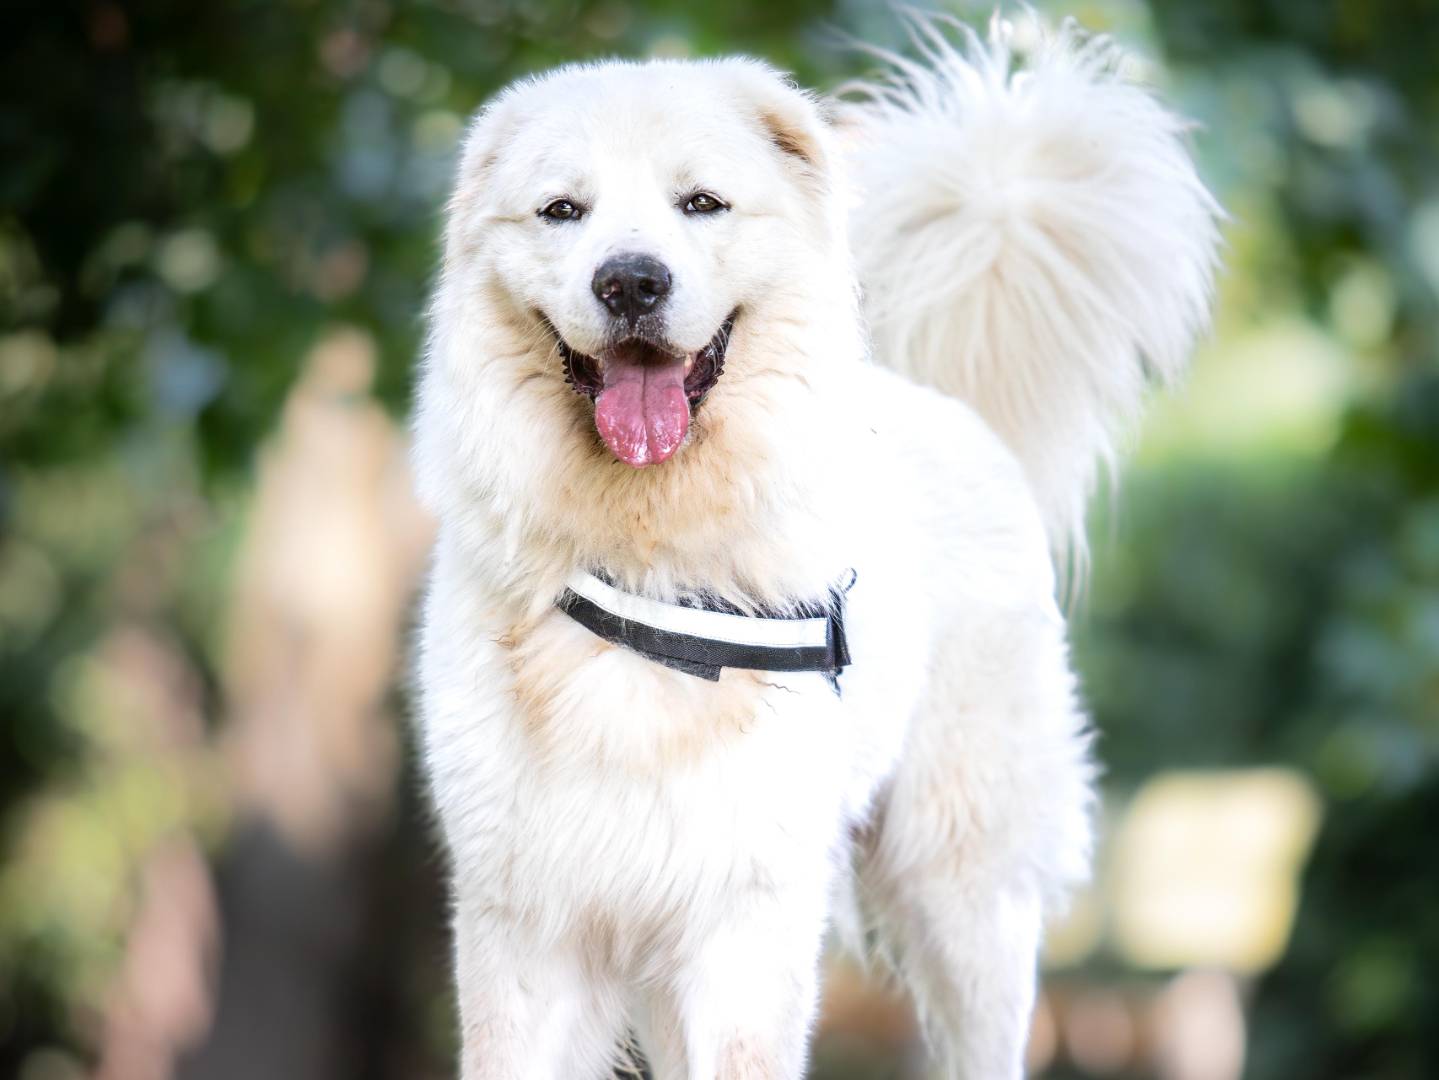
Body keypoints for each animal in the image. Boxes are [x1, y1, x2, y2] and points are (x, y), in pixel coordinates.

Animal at [411, 14, 1220, 1080]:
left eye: (701, 203)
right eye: (561, 211)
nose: (630, 281)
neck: (646, 564)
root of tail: (939, 399)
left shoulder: (745, 927)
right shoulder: (525, 934)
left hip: (962, 897)